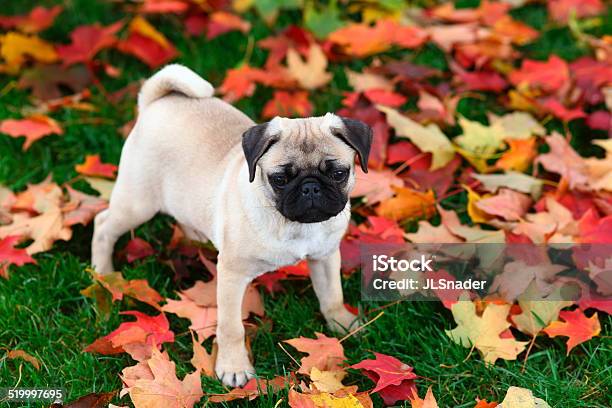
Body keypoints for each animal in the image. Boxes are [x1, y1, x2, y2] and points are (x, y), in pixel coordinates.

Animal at [89, 63, 368, 386]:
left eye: (338, 173)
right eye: (279, 179)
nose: (311, 188)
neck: (295, 225)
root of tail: (155, 102)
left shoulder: (325, 256)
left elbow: (332, 294)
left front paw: (343, 324)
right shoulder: (232, 276)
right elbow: (232, 328)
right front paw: (234, 367)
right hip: (138, 203)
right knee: (103, 225)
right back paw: (103, 272)